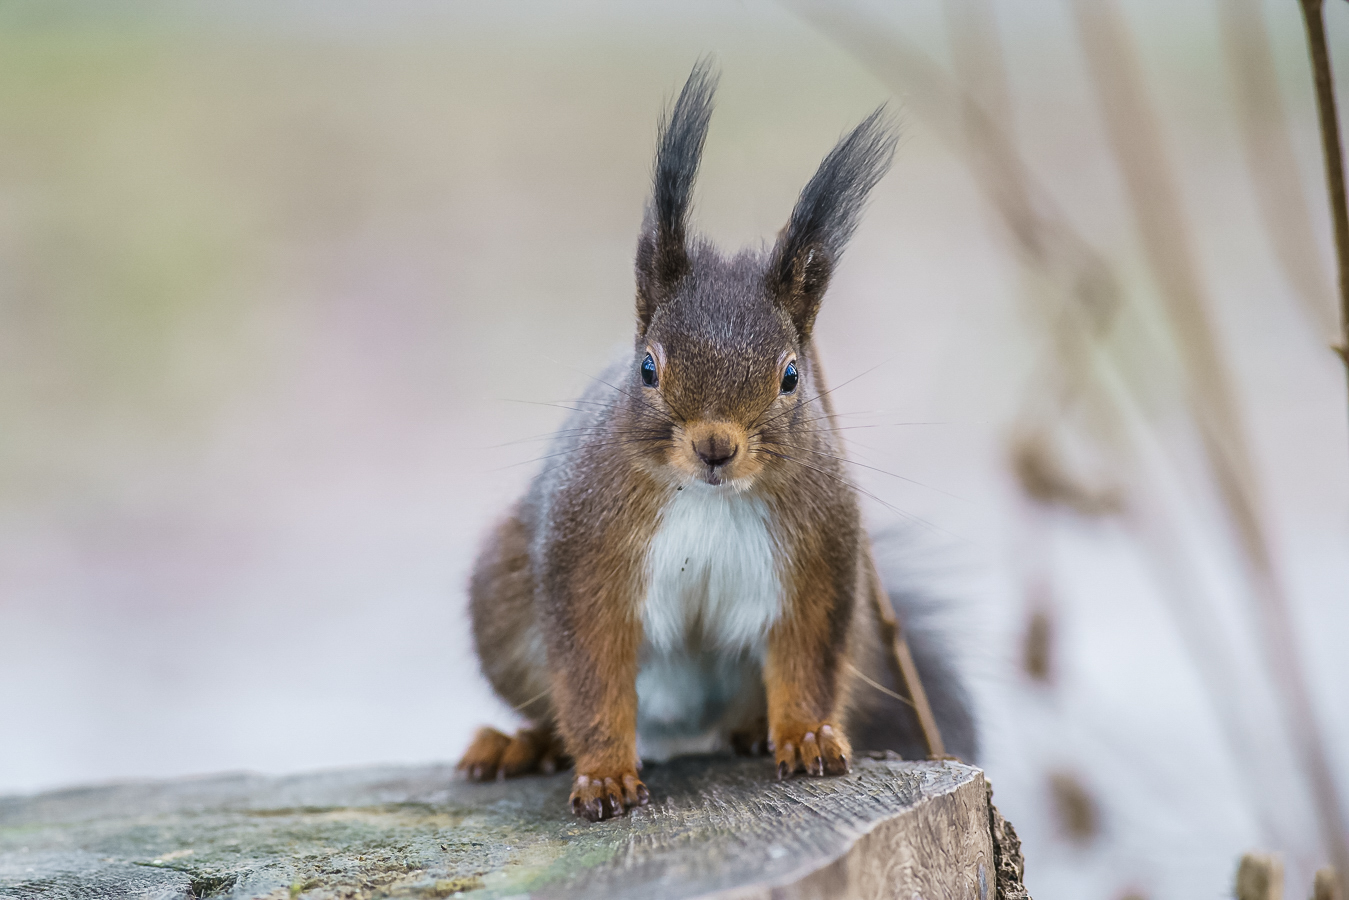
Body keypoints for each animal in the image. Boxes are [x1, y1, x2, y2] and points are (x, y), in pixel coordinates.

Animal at [458, 61, 976, 825]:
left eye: (791, 375)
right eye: (647, 367)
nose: (714, 446)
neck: (709, 497)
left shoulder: (819, 559)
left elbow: (806, 658)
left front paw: (808, 735)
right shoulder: (587, 556)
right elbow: (590, 679)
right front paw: (604, 775)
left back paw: (752, 728)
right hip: (501, 603)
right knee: (551, 706)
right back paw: (519, 744)